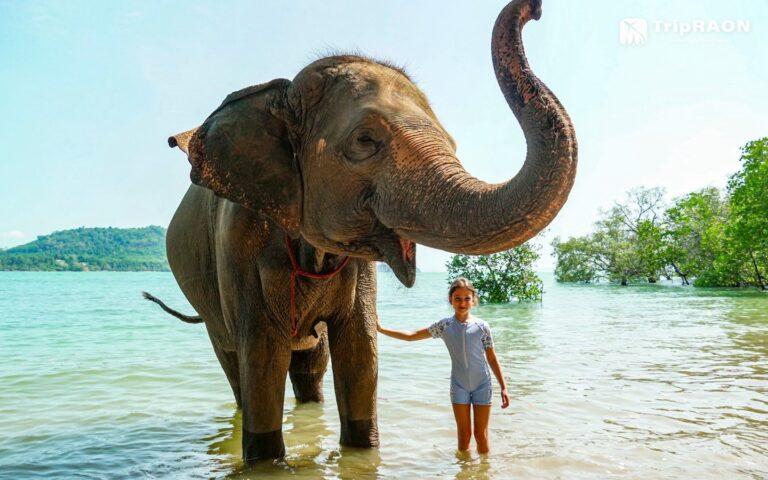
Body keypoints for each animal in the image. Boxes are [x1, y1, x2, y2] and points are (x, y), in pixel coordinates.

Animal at [143, 0, 576, 464]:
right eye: (365, 140)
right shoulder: (237, 244)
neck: (282, 95)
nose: (534, 10)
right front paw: (267, 462)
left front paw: (361, 452)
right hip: (207, 301)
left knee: (310, 366)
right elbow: (262, 354)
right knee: (236, 366)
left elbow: (359, 350)